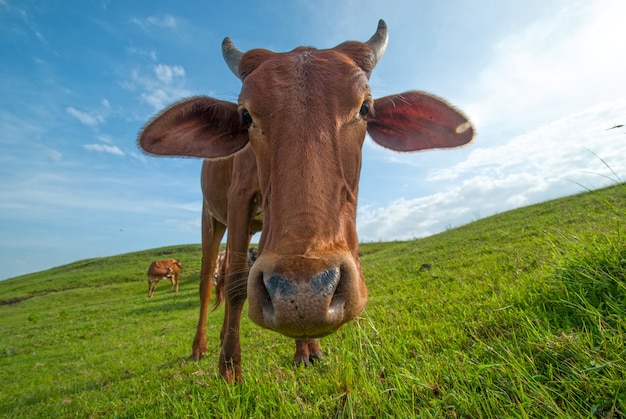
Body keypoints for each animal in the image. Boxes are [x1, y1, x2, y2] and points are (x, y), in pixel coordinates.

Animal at [138, 19, 472, 382]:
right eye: (245, 115)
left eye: (365, 107)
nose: (304, 293)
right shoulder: (239, 199)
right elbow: (238, 285)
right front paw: (229, 370)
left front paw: (307, 350)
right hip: (211, 219)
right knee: (208, 284)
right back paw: (200, 347)